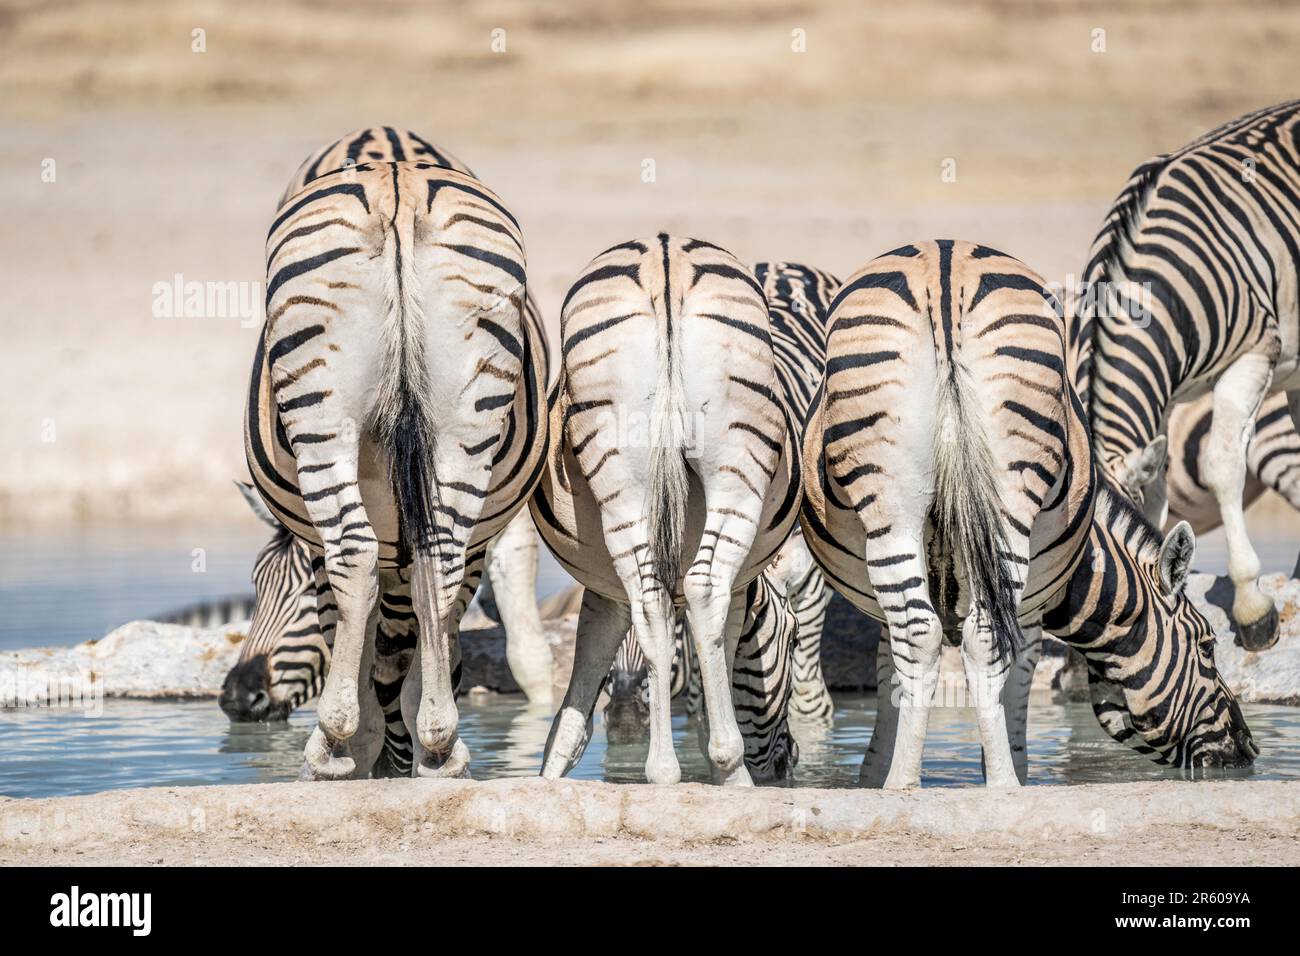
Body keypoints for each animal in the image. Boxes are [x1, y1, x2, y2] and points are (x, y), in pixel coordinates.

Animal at [248, 144, 548, 780]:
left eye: (285, 590)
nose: (238, 701)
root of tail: (397, 180)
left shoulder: (312, 553)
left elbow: (359, 640)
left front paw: (358, 748)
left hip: (323, 417)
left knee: (353, 551)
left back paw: (333, 743)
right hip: (467, 416)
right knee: (439, 558)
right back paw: (440, 745)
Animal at [531, 235, 802, 786]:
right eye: (793, 642)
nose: (789, 763)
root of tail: (665, 255)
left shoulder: (602, 594)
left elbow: (571, 721)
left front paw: (545, 779)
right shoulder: (742, 591)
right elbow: (712, 665)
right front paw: (723, 765)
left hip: (622, 472)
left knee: (652, 597)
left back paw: (661, 770)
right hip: (738, 470)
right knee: (704, 587)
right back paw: (729, 770)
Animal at [802, 241, 1256, 787]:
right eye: (1208, 646)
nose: (1248, 751)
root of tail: (943, 265)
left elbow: (894, 682)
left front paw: (878, 779)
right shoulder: (1032, 612)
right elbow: (1010, 684)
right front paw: (1011, 770)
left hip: (893, 507)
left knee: (921, 632)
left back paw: (906, 785)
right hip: (1007, 505)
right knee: (981, 637)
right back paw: (1003, 786)